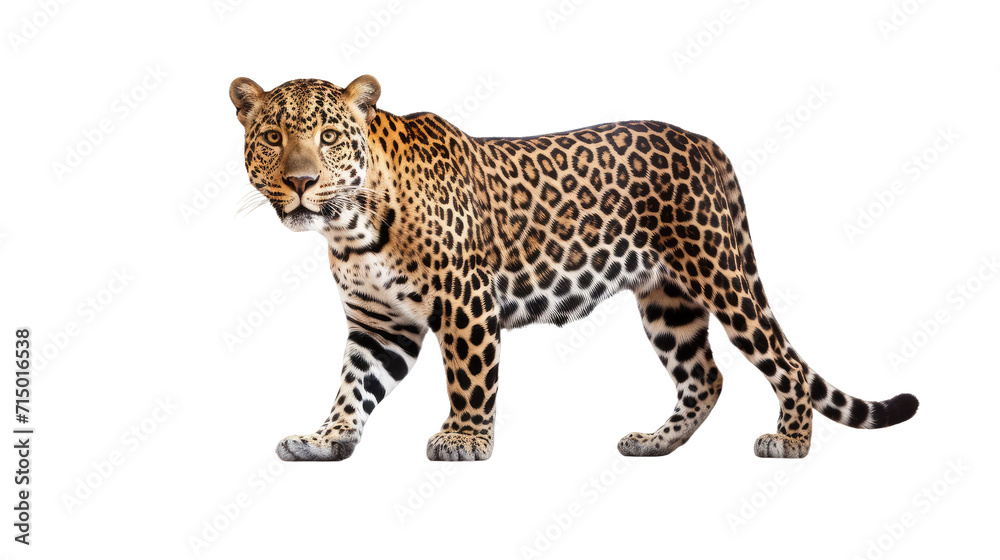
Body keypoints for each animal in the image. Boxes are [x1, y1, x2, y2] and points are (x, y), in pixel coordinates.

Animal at [228, 74, 918, 461]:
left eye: (328, 137)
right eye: (272, 138)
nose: (300, 182)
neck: (352, 227)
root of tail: (708, 144)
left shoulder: (466, 301)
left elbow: (469, 379)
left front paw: (464, 441)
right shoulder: (381, 325)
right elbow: (353, 384)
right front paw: (326, 439)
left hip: (722, 273)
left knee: (786, 366)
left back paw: (791, 443)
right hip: (668, 302)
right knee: (706, 377)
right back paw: (655, 443)